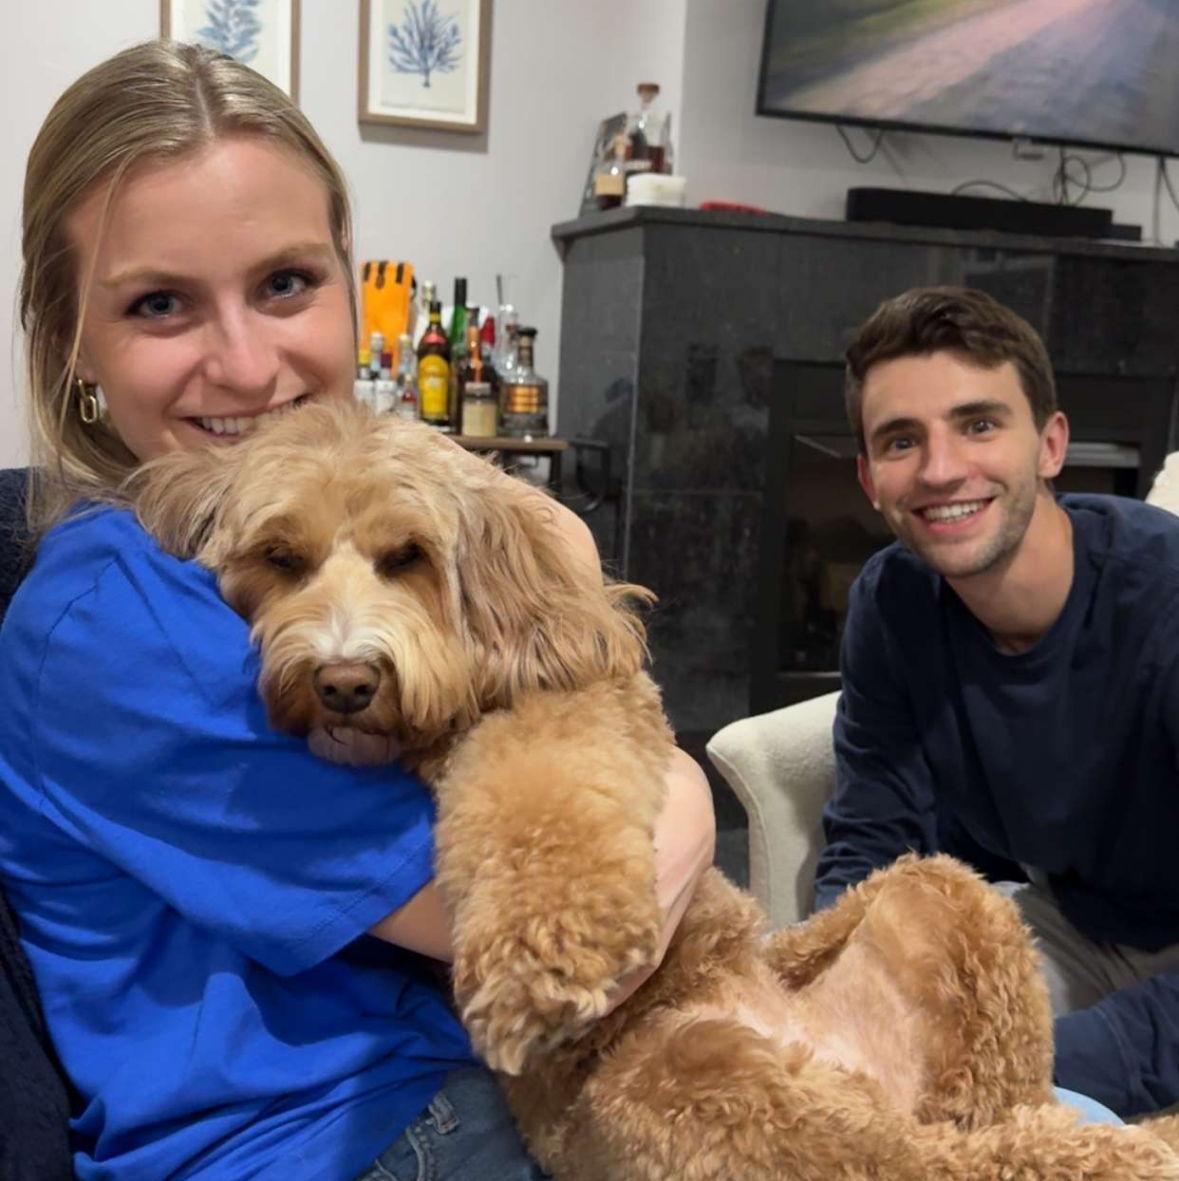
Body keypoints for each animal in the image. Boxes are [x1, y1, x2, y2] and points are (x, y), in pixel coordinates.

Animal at [133, 401, 1179, 1180]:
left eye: (408, 557)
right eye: (279, 559)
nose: (344, 680)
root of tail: (844, 1066)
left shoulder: (576, 699)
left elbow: (537, 784)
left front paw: (539, 961)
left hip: (933, 918)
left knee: (997, 1129)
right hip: (709, 1083)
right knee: (971, 1144)